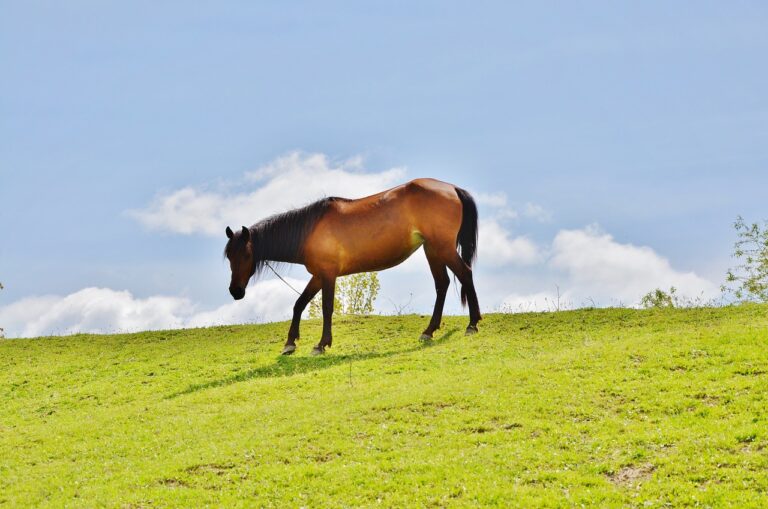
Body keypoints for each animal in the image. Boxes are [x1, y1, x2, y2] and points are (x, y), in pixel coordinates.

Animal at [225, 177, 484, 356]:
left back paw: (472, 324)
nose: (235, 291)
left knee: (465, 274)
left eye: (246, 254)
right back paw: (429, 331)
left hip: (442, 248)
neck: (309, 230)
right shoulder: (318, 276)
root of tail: (452, 188)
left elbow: (327, 308)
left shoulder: (328, 276)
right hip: (432, 250)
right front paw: (290, 343)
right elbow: (299, 304)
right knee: (442, 284)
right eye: (228, 256)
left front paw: (321, 344)